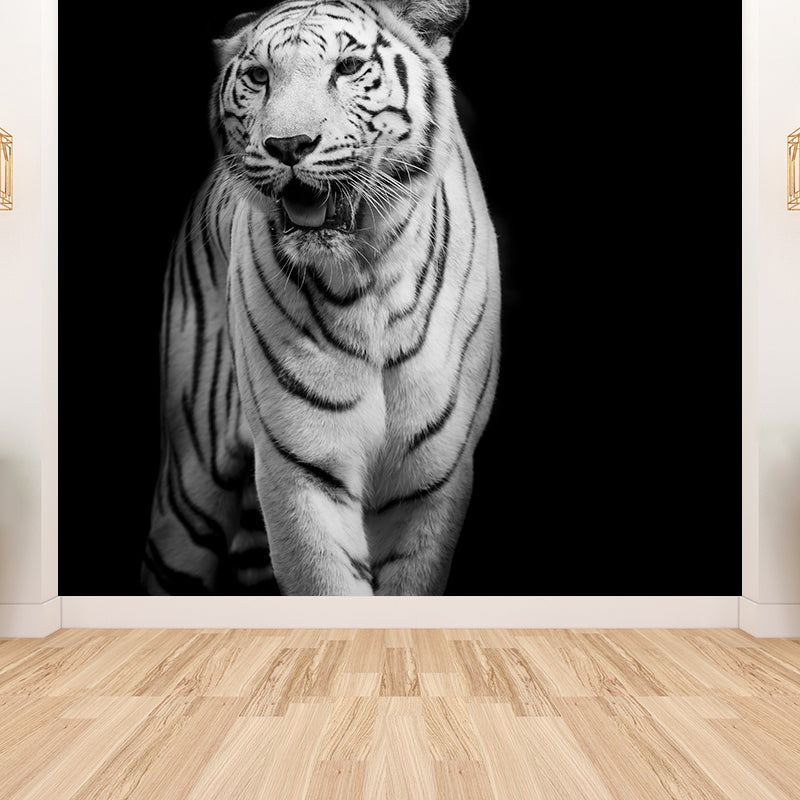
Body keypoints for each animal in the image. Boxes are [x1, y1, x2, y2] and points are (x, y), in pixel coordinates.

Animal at [140, 0, 501, 596]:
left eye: (349, 67)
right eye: (259, 76)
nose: (288, 146)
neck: (369, 276)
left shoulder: (433, 480)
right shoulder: (301, 468)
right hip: (190, 487)